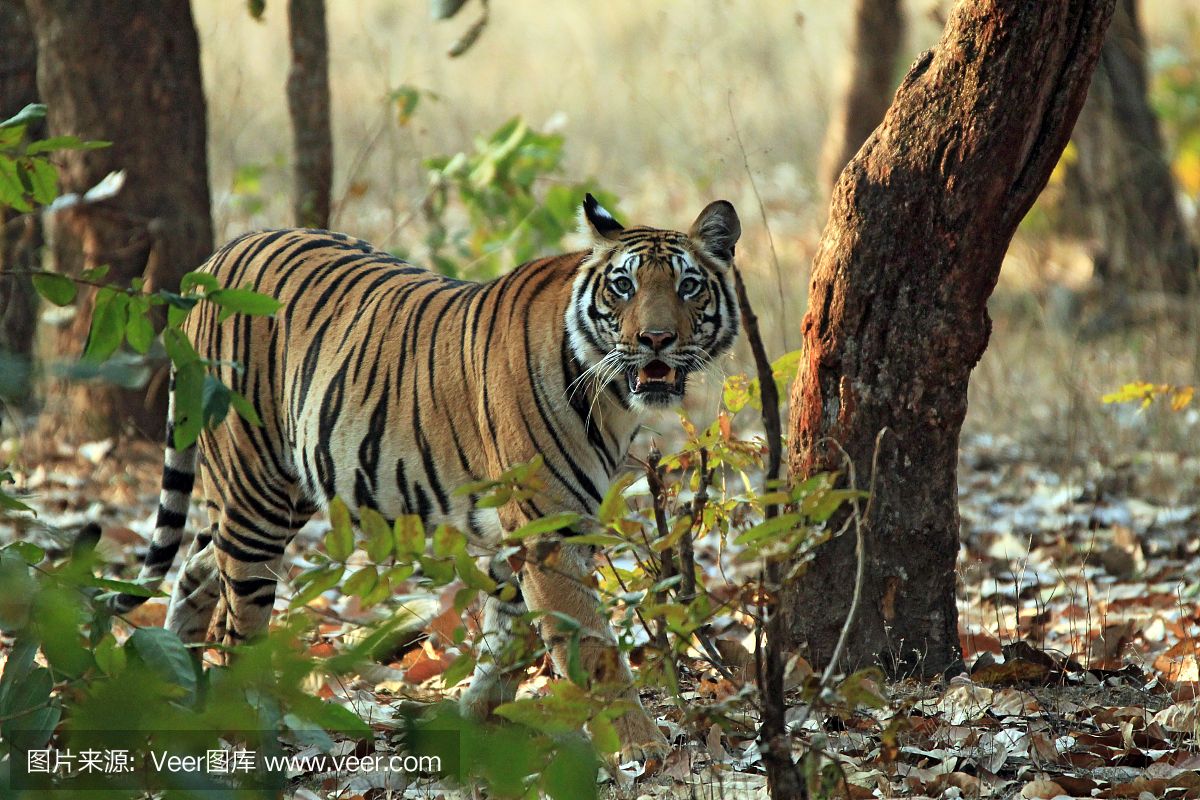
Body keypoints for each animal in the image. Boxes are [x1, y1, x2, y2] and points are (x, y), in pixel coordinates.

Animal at [108, 194, 739, 758]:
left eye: (688, 286)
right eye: (623, 286)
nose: (655, 340)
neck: (613, 402)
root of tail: (216, 258)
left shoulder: (530, 533)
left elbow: (506, 639)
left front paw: (476, 724)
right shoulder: (547, 532)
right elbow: (590, 644)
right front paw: (643, 748)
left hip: (280, 489)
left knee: (196, 566)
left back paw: (172, 686)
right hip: (253, 488)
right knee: (240, 618)